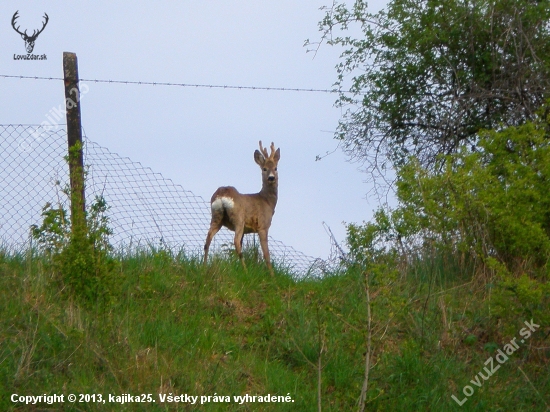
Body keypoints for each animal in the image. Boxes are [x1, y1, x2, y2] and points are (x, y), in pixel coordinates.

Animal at [203, 141, 282, 274]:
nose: (271, 177)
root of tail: (222, 194)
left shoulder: (246, 230)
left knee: (208, 239)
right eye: (264, 169)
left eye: (275, 168)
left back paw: (204, 265)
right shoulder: (263, 225)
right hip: (238, 218)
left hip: (216, 217)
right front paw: (272, 275)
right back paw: (246, 271)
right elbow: (266, 254)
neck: (267, 201)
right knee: (236, 242)